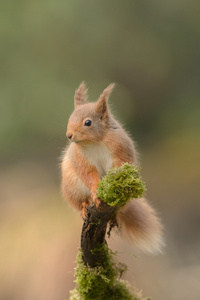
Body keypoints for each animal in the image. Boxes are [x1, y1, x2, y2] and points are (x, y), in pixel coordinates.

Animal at [61, 82, 163, 253]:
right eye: (70, 118)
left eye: (88, 122)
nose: (69, 135)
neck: (94, 142)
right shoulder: (81, 159)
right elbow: (88, 174)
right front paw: (95, 190)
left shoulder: (120, 149)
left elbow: (119, 166)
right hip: (73, 188)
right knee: (80, 201)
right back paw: (85, 206)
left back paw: (114, 214)